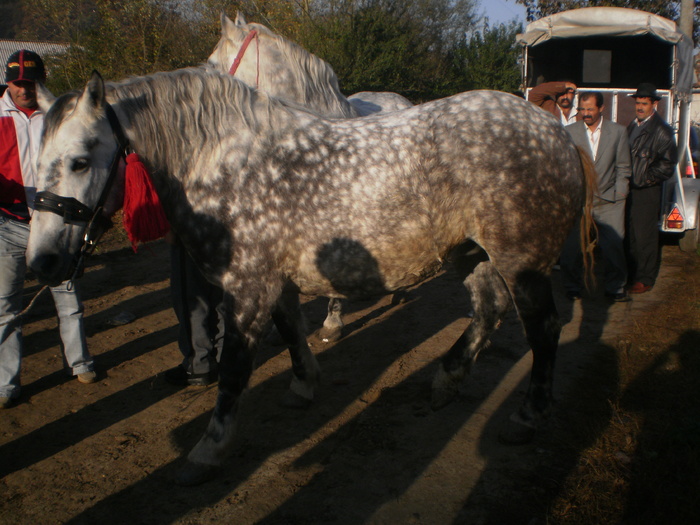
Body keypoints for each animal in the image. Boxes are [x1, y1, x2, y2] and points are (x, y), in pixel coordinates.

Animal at [28, 67, 596, 486]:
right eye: (36, 160)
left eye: (81, 160)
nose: (43, 263)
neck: (226, 163)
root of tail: (555, 132)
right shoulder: (272, 282)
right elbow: (289, 332)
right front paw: (304, 385)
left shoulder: (247, 287)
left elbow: (234, 369)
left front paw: (208, 450)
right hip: (472, 254)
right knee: (487, 310)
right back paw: (447, 379)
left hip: (520, 263)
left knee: (543, 329)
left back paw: (526, 417)